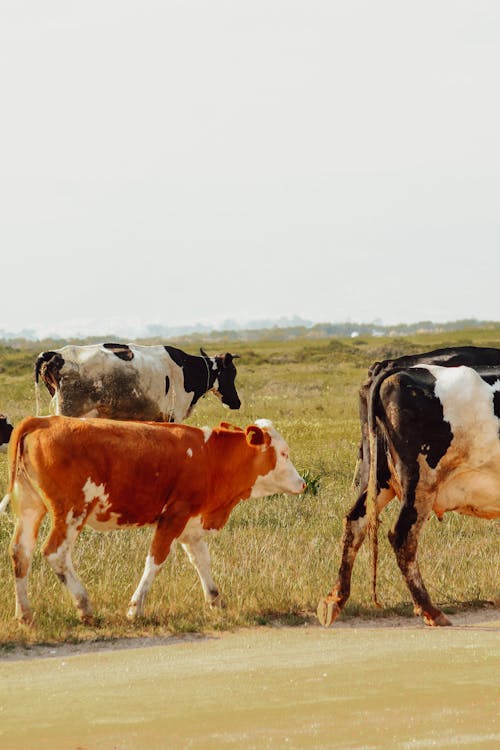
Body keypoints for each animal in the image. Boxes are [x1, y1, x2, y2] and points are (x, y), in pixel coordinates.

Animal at [0, 418, 304, 624]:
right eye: (284, 453)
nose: (301, 483)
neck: (209, 456)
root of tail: (45, 420)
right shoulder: (174, 516)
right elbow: (155, 561)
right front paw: (135, 608)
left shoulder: (191, 524)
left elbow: (202, 561)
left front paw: (215, 599)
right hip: (72, 512)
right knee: (55, 553)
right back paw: (84, 605)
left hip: (30, 508)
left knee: (20, 553)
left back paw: (24, 614)